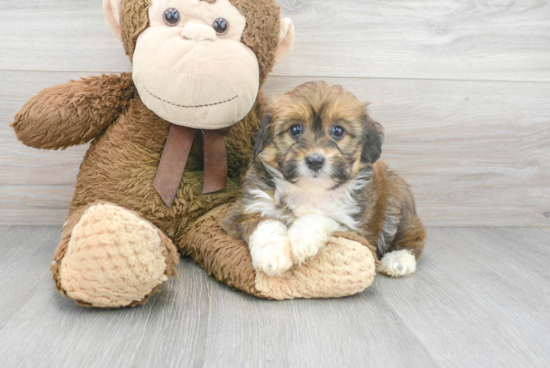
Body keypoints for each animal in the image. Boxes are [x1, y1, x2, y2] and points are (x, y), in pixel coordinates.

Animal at [223, 82, 426, 278]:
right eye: (295, 130)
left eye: (338, 131)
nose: (315, 161)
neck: (310, 189)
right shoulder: (245, 210)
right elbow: (265, 224)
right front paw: (272, 255)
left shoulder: (352, 224)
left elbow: (321, 216)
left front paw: (301, 240)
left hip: (396, 204)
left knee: (414, 236)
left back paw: (399, 260)